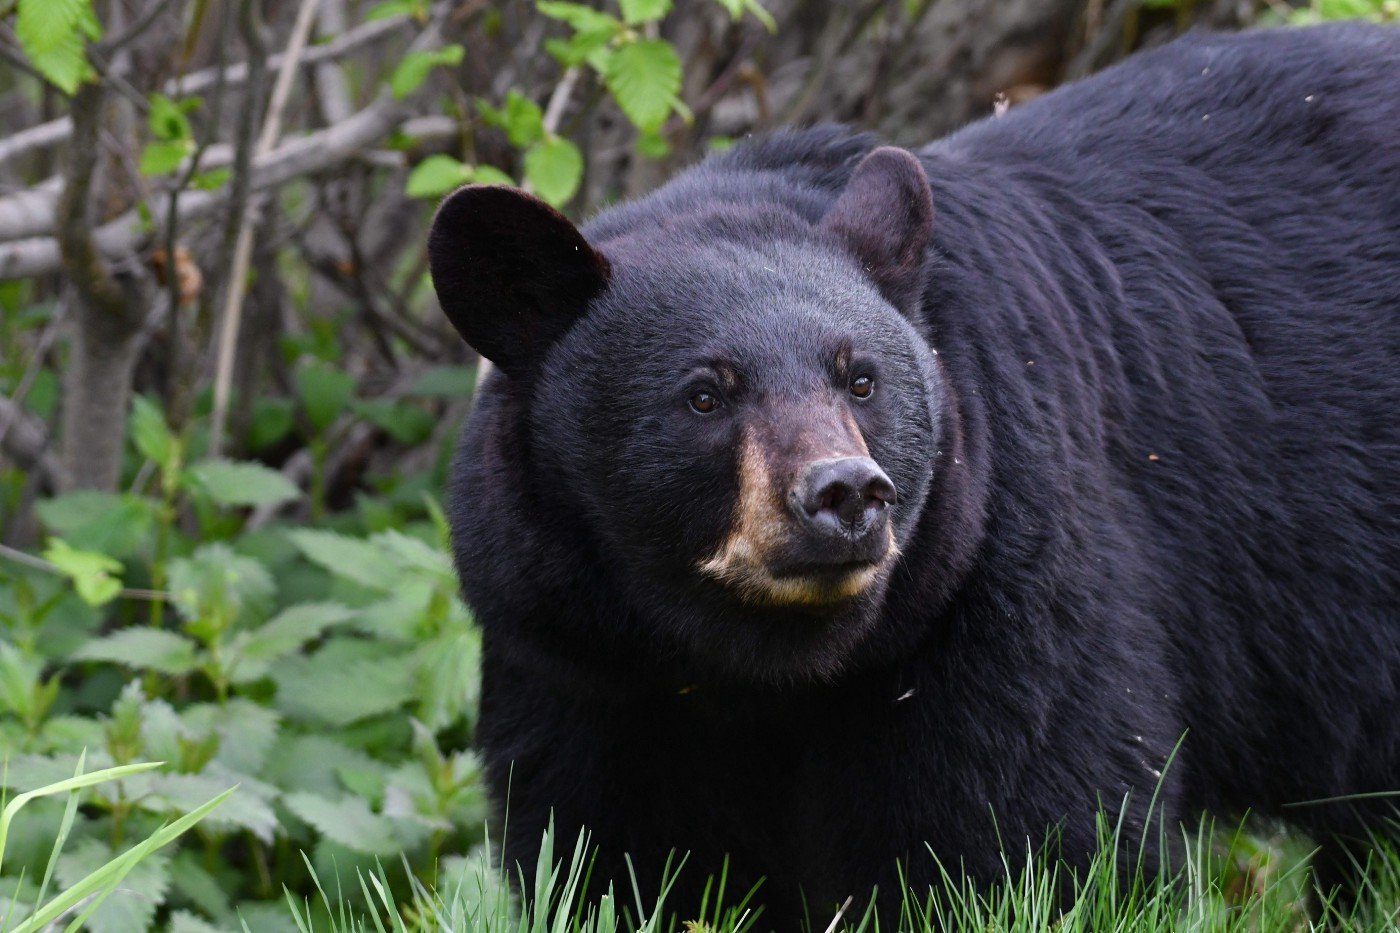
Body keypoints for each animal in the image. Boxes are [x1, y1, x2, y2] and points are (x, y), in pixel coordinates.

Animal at [428, 23, 1400, 929]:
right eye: (705, 393)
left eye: (861, 378)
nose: (845, 492)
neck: (758, 665)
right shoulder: (579, 660)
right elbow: (614, 851)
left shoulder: (998, 576)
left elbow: (1034, 832)